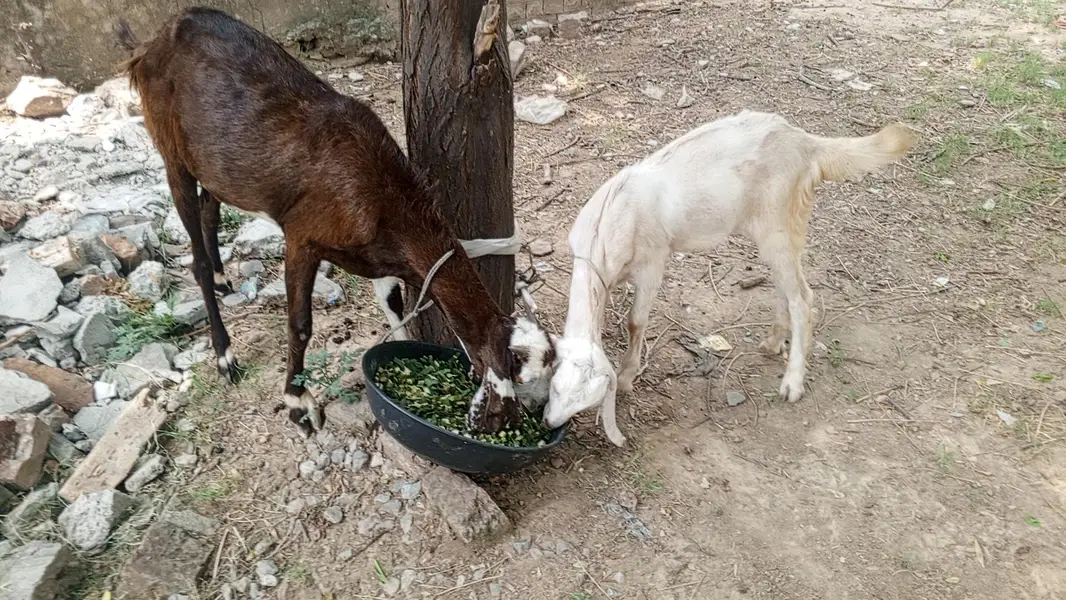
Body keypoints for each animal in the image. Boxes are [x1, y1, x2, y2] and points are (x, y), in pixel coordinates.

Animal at [115, 8, 555, 437]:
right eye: (521, 377)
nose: (518, 421)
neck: (381, 195)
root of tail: (153, 43)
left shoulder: (381, 256)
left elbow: (393, 305)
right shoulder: (303, 237)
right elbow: (300, 325)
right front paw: (299, 405)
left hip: (217, 165)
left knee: (211, 207)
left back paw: (226, 280)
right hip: (171, 152)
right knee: (197, 257)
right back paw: (226, 354)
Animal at [542, 110, 915, 446]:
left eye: (585, 403)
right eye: (556, 386)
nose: (549, 423)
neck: (606, 227)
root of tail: (805, 143)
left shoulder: (653, 262)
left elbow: (636, 321)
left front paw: (627, 377)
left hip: (780, 221)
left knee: (802, 298)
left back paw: (792, 383)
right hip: (772, 230)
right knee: (785, 287)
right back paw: (772, 342)